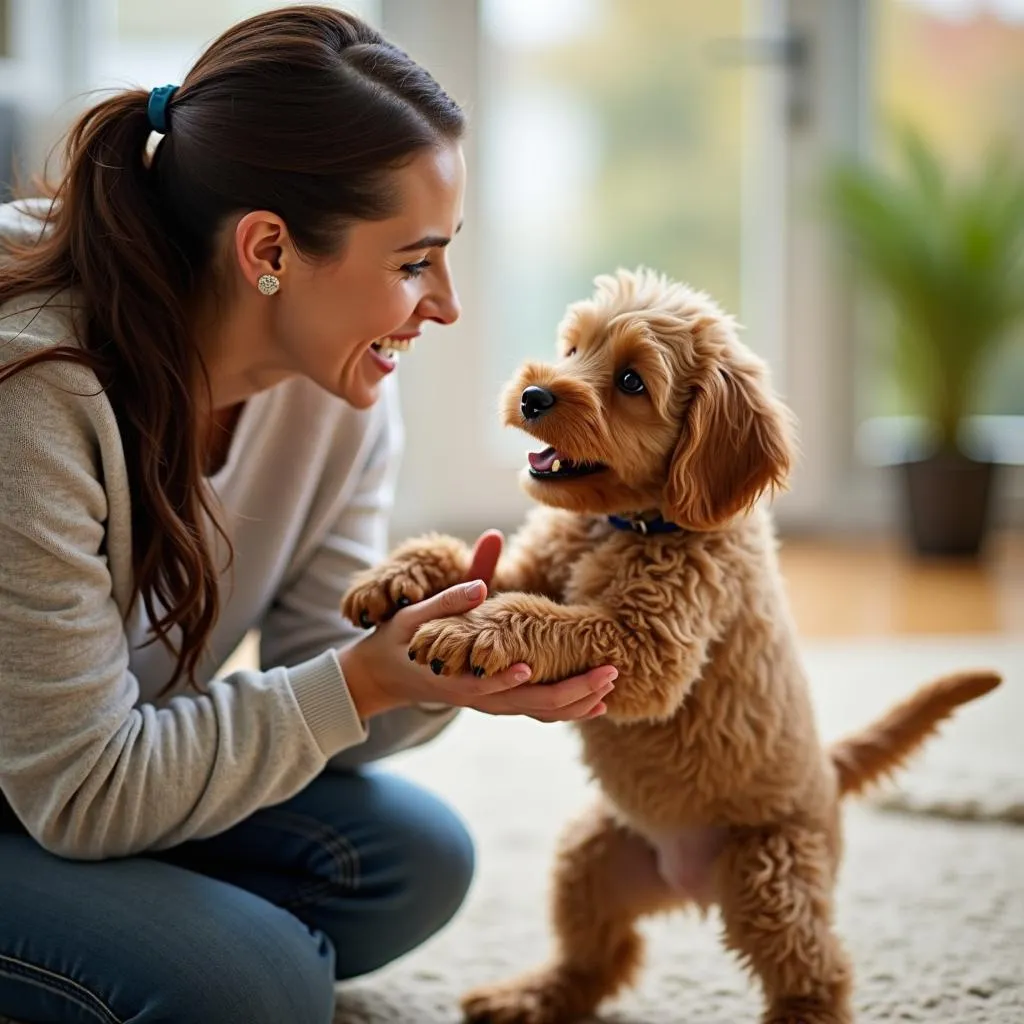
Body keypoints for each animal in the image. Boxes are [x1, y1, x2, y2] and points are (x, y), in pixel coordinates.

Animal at [339, 270, 995, 1024]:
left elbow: (551, 619)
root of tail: (690, 883)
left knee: (818, 971)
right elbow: (475, 565)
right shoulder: (531, 565)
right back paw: (530, 996)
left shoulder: (651, 646)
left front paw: (475, 629)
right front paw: (398, 575)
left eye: (631, 381)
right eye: (573, 348)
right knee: (601, 958)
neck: (631, 523)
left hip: (768, 873)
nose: (534, 395)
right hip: (590, 854)